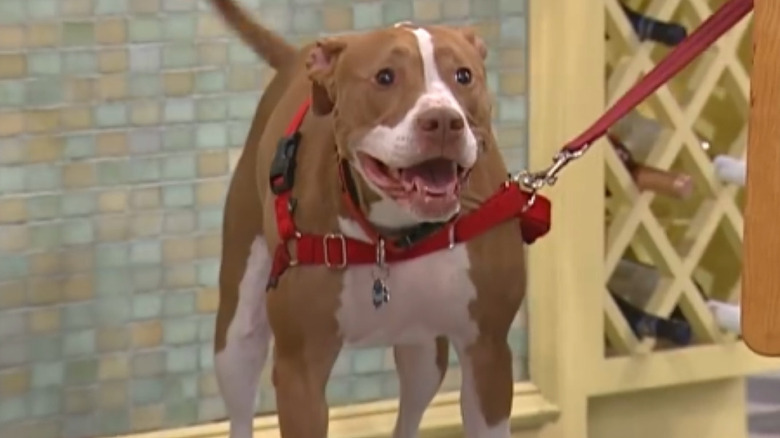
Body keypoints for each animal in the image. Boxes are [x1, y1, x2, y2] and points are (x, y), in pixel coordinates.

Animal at [210, 1, 532, 436]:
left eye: (464, 76)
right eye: (385, 77)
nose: (443, 121)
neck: (393, 235)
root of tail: (296, 57)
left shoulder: (488, 354)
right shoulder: (300, 373)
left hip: (422, 348)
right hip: (237, 333)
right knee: (240, 396)